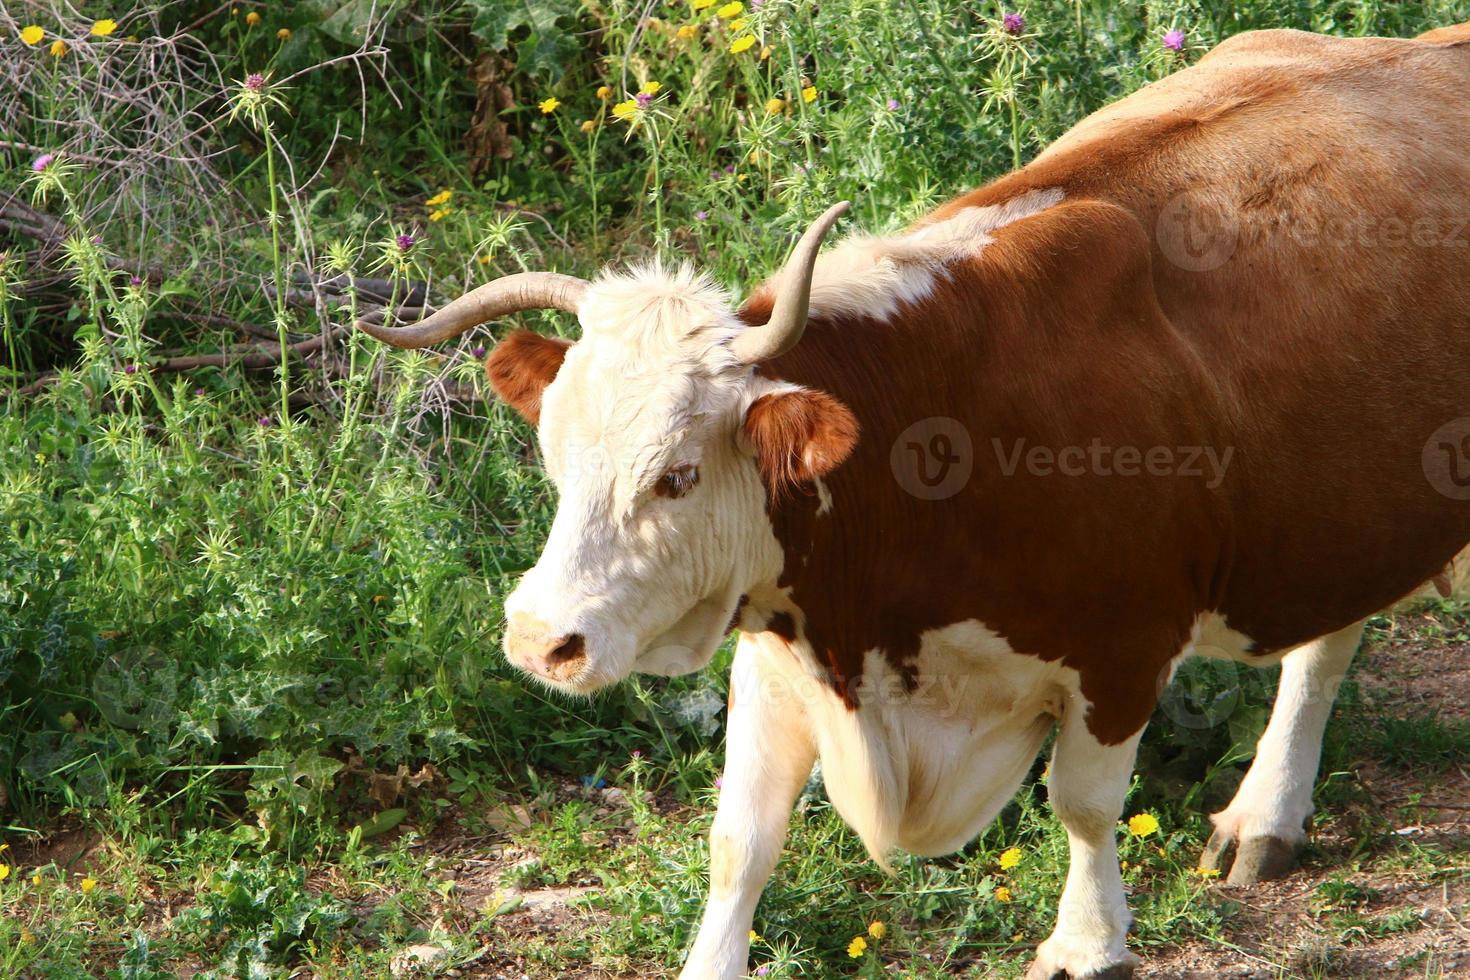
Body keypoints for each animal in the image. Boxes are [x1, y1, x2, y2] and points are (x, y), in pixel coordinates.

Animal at [361, 22, 1470, 980]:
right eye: (554, 457)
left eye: (677, 474)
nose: (536, 638)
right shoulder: (783, 642)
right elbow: (740, 836)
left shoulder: (1123, 647)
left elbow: (1083, 806)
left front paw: (1087, 943)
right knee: (1330, 638)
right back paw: (1267, 815)